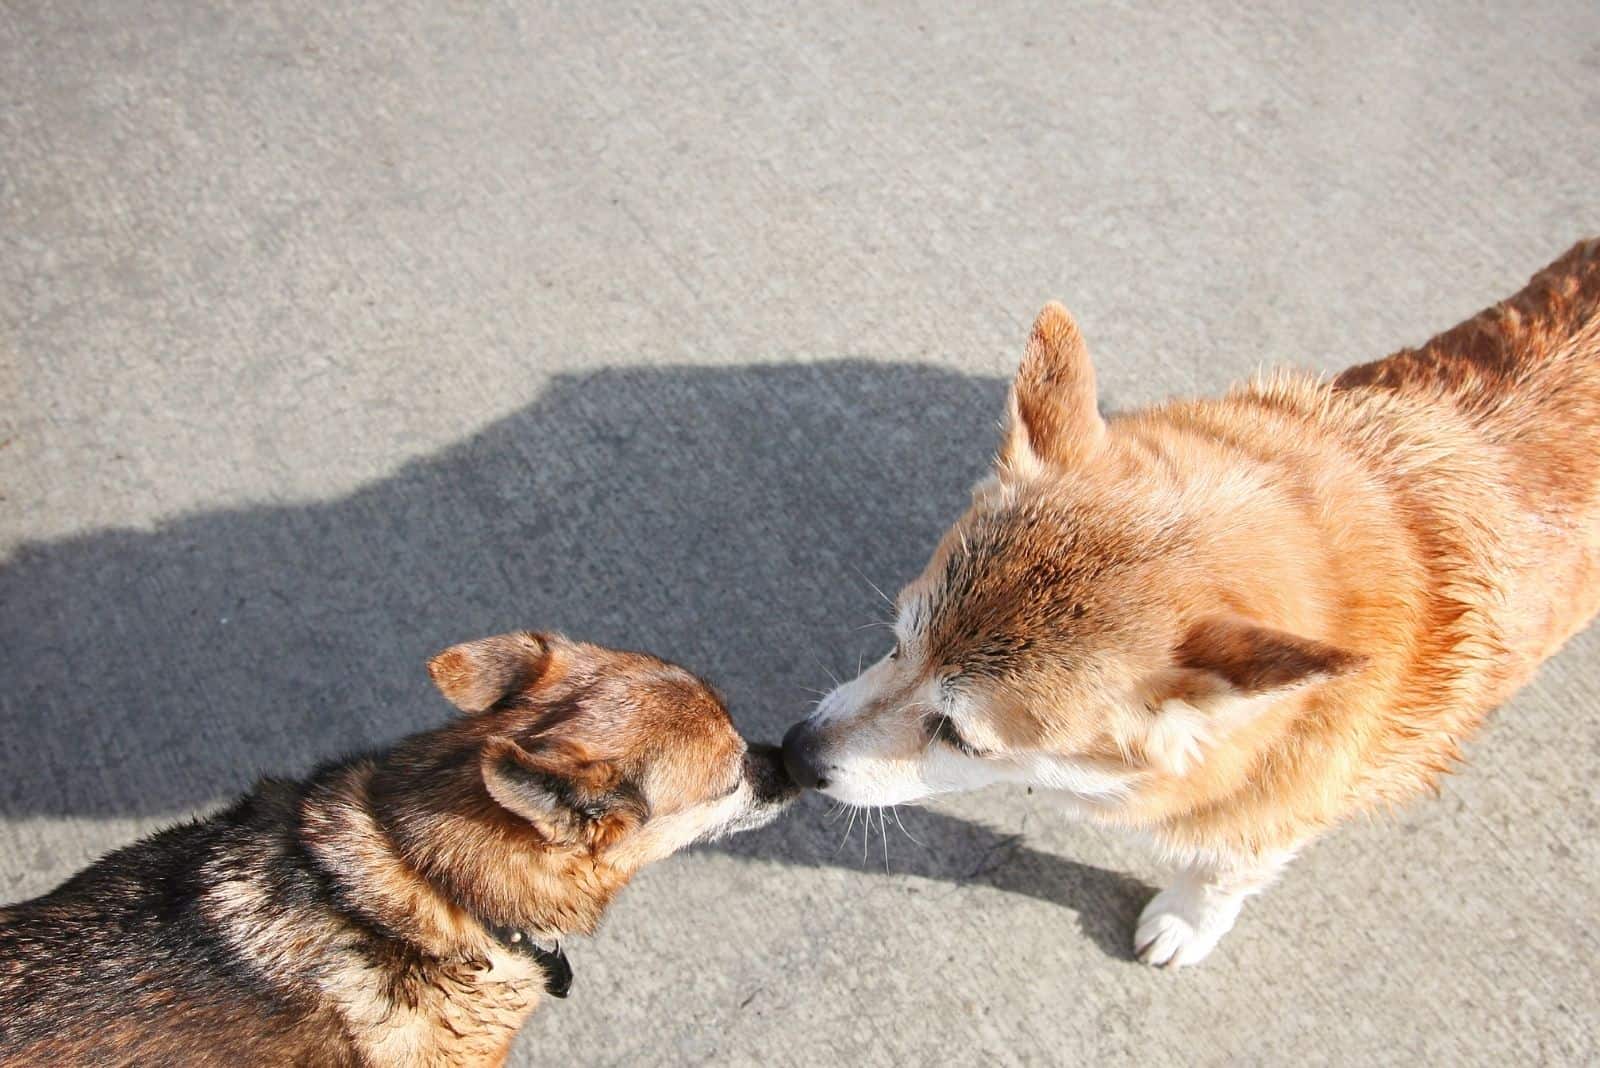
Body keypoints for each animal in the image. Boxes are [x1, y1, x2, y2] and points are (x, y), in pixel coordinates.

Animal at [784, 239, 1600, 965]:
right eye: (897, 642)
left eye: (962, 738)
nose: (793, 753)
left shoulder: (1274, 814)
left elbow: (1224, 869)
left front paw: (1186, 920)